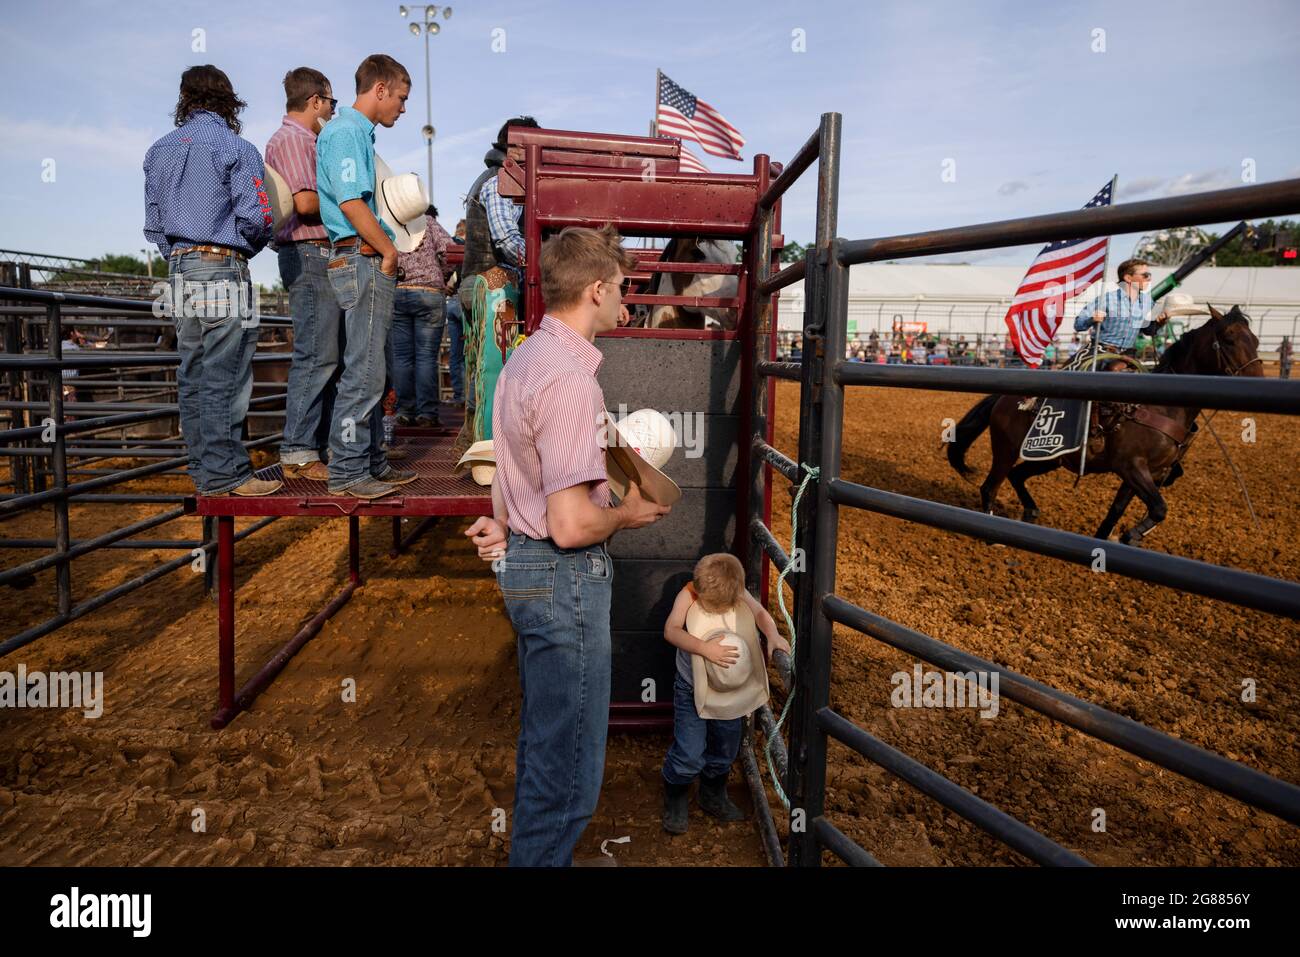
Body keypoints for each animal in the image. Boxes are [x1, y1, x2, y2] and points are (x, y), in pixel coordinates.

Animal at [946, 306, 1258, 546]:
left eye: (1254, 339)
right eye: (1229, 339)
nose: (1257, 378)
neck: (1160, 407)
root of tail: (1004, 397)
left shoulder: (1152, 472)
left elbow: (1119, 509)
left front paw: (1109, 538)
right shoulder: (1131, 466)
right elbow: (1159, 508)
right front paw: (1131, 535)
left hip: (1050, 458)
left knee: (1017, 476)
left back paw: (1031, 513)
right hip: (1006, 450)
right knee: (990, 486)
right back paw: (992, 536)